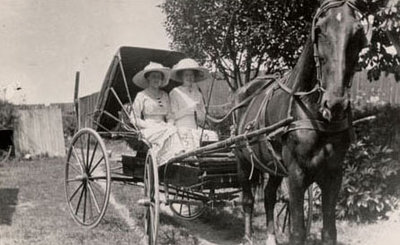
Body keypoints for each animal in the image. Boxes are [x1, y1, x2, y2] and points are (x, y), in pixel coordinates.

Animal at [234, 0, 368, 245]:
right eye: (319, 30)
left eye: (358, 32)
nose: (335, 103)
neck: (314, 113)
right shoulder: (296, 174)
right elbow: (297, 231)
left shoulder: (334, 175)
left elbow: (329, 231)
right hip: (243, 160)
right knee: (248, 199)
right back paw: (247, 236)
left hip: (273, 166)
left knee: (268, 196)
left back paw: (271, 237)